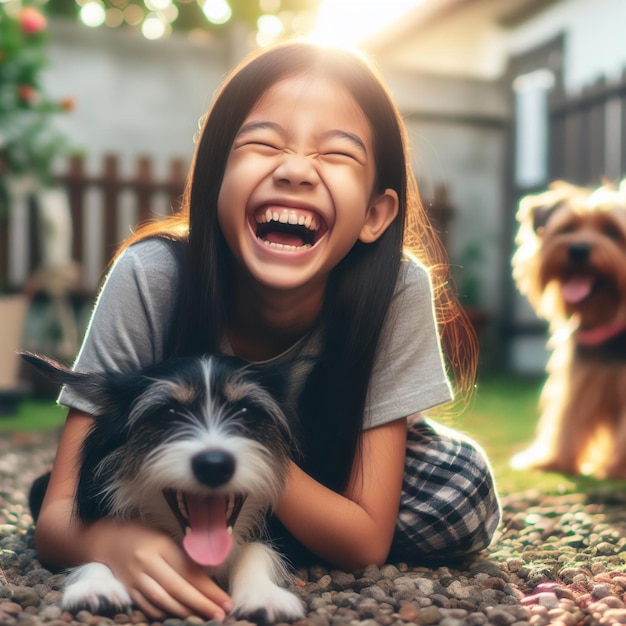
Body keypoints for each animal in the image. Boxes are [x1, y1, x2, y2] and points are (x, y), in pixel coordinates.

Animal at [24, 354, 304, 620]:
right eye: (167, 413)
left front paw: (263, 595)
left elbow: (258, 550)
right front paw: (96, 586)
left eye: (248, 412)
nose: (213, 465)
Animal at [510, 180, 624, 478]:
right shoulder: (578, 379)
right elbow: (567, 416)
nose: (578, 250)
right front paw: (554, 460)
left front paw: (618, 467)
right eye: (568, 229)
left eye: (612, 232)